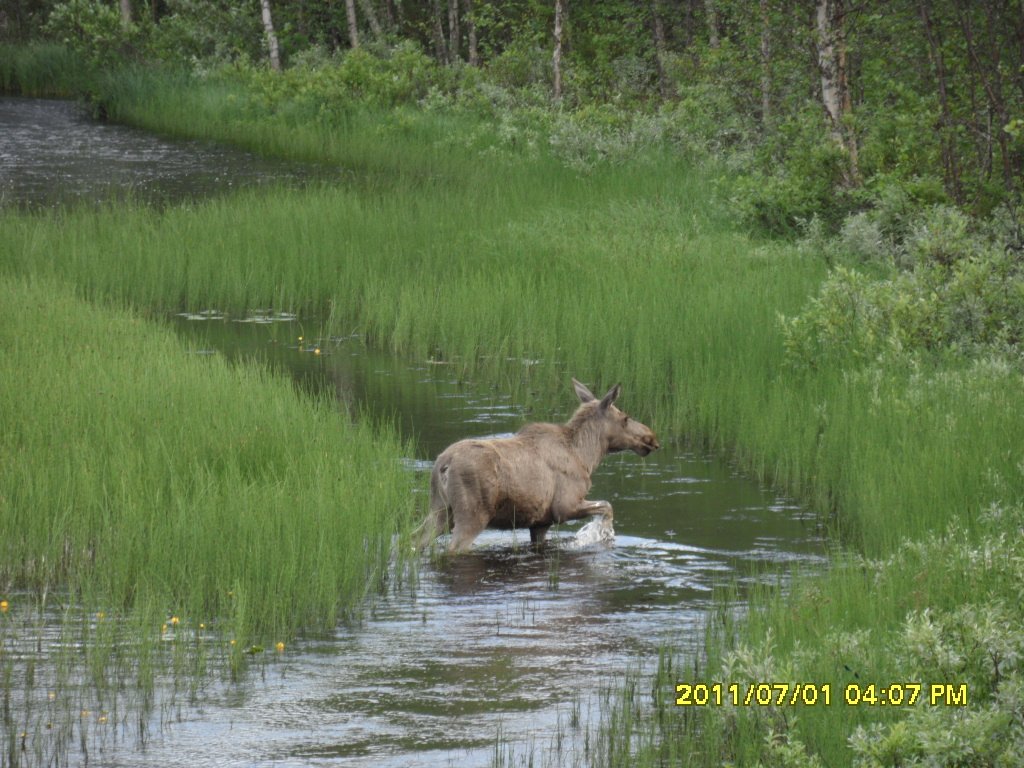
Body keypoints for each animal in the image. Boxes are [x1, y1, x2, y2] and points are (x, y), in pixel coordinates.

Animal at [417, 378, 663, 552]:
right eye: (625, 418)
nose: (651, 438)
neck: (587, 456)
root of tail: (443, 464)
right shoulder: (565, 507)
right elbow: (607, 506)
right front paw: (602, 533)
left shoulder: (540, 523)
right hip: (471, 515)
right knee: (453, 548)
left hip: (440, 510)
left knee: (415, 540)